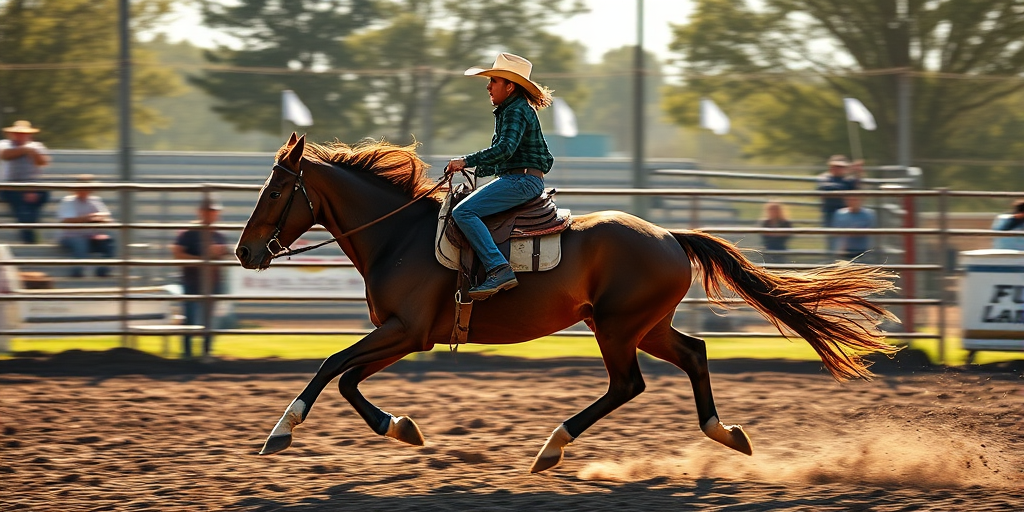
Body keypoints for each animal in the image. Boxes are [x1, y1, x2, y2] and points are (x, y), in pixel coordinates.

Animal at [234, 133, 899, 473]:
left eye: (274, 190)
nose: (243, 251)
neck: (399, 236)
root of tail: (668, 236)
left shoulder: (407, 331)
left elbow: (330, 367)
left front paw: (280, 432)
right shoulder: (404, 335)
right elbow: (346, 378)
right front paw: (400, 427)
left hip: (617, 327)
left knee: (628, 384)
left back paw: (551, 447)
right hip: (644, 325)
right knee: (694, 352)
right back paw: (726, 433)